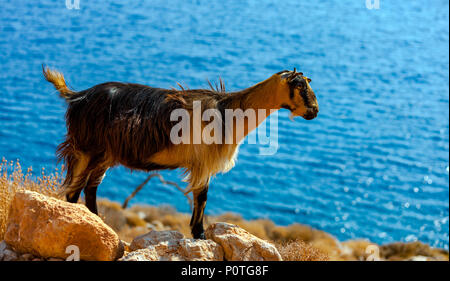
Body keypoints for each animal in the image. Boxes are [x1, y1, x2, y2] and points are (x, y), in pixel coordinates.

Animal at [41, 66, 316, 238]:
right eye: (300, 87)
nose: (314, 110)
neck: (229, 112)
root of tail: (77, 96)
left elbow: (200, 197)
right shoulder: (203, 163)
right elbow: (202, 197)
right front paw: (199, 234)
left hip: (104, 156)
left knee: (90, 188)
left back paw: (100, 223)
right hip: (88, 150)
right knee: (74, 191)